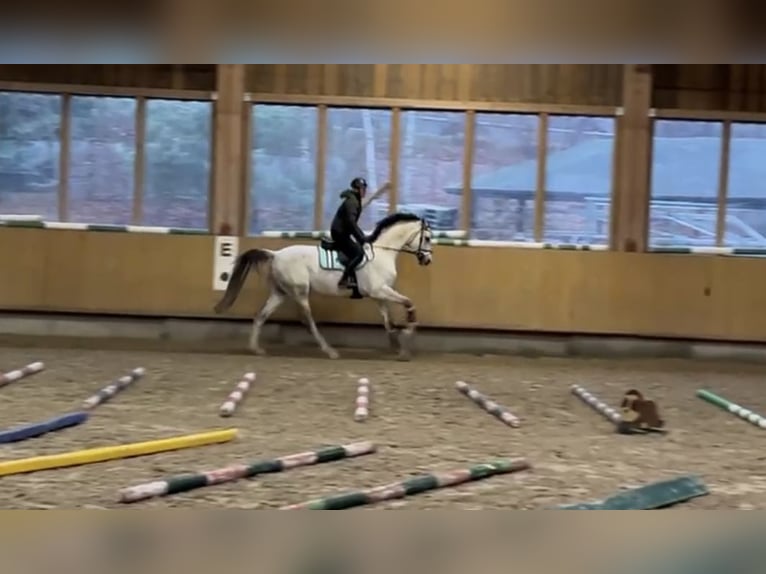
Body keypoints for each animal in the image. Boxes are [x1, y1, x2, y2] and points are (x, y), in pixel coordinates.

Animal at [213, 214, 436, 362]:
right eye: (427, 238)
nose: (427, 260)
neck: (382, 253)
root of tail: (275, 254)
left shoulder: (379, 295)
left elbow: (388, 321)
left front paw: (398, 347)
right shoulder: (380, 291)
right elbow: (409, 303)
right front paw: (409, 331)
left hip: (280, 293)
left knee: (261, 316)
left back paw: (255, 349)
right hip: (300, 292)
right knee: (308, 321)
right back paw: (329, 351)